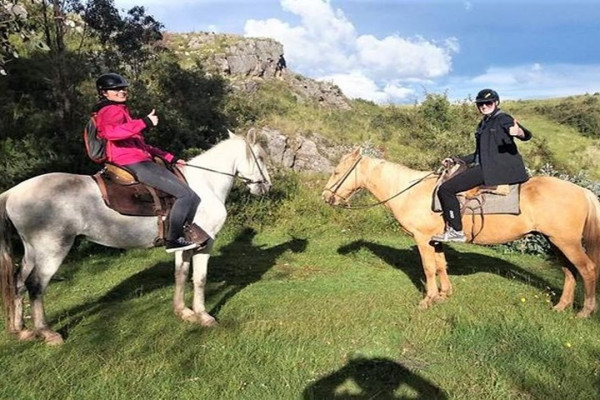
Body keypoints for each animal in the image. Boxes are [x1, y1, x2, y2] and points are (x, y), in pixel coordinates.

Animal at [0, 131, 272, 344]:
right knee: (36, 286)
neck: (206, 185)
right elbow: (200, 280)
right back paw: (46, 333)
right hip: (52, 251)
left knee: (18, 282)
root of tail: (13, 192)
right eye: (260, 157)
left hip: (32, 252)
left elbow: (181, 275)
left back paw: (21, 330)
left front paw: (183, 312)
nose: (266, 186)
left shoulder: (184, 245)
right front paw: (203, 316)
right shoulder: (206, 243)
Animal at [324, 148, 600, 318]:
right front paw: (444, 295)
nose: (326, 197)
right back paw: (561, 306)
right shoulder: (436, 240)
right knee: (569, 271)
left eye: (336, 172)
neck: (411, 193)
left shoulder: (422, 239)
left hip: (567, 242)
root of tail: (583, 191)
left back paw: (584, 311)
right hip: (555, 241)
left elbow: (428, 268)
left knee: (586, 269)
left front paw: (428, 299)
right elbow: (441, 265)